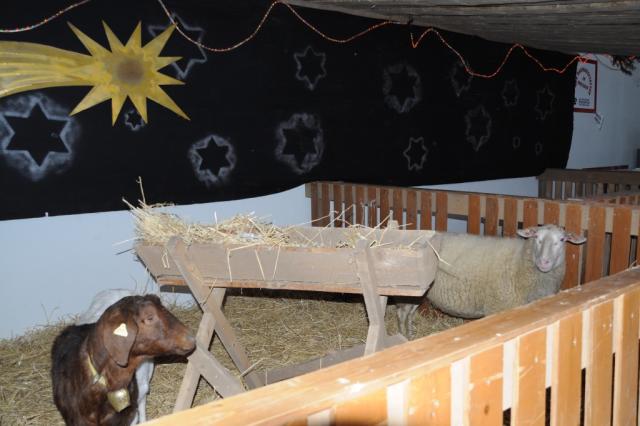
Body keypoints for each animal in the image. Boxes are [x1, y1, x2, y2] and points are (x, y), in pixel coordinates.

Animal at [396, 225, 586, 339]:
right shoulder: (499, 308)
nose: (544, 262)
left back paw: (411, 336)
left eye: (561, 240)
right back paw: (403, 338)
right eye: (537, 238)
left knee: (410, 314)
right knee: (402, 314)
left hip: (420, 292)